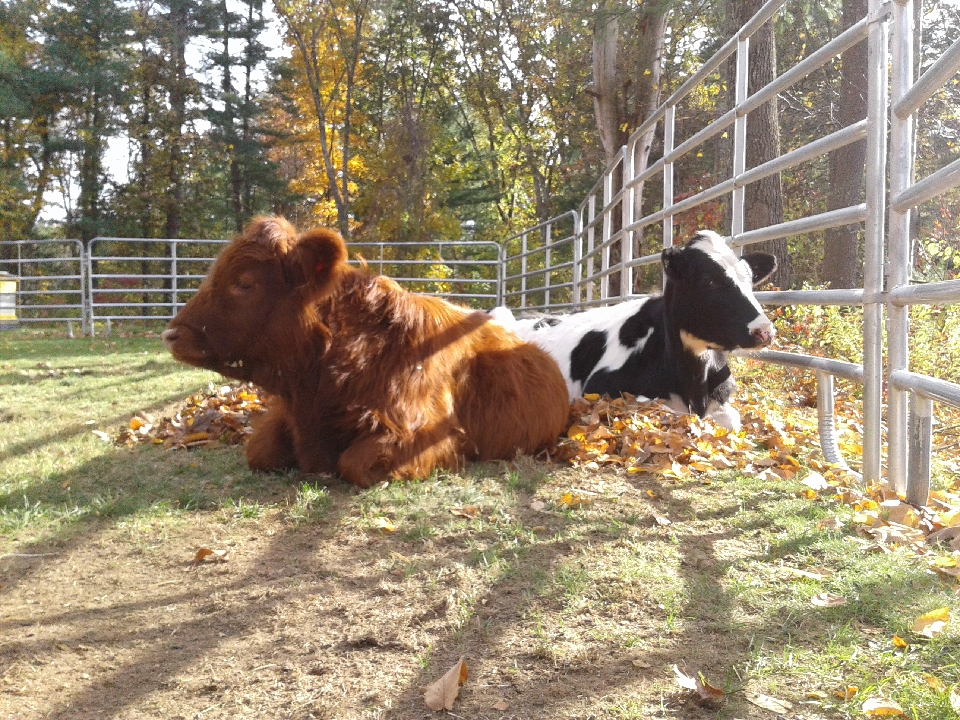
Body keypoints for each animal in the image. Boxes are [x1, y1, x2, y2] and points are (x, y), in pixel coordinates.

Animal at [491, 230, 777, 431]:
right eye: (709, 281)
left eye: (751, 280)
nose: (764, 330)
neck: (694, 384)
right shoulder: (600, 390)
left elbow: (731, 420)